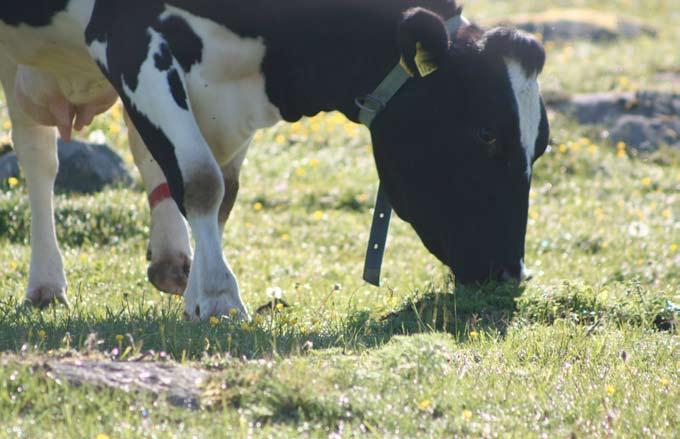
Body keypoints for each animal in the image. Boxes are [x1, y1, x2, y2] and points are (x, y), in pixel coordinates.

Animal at [0, 0, 548, 324]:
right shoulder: (129, 35)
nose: (511, 274)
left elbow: (220, 190)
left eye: (541, 144)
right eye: (486, 134)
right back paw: (46, 285)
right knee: (39, 161)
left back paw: (168, 261)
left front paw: (196, 293)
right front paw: (219, 299)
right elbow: (201, 180)